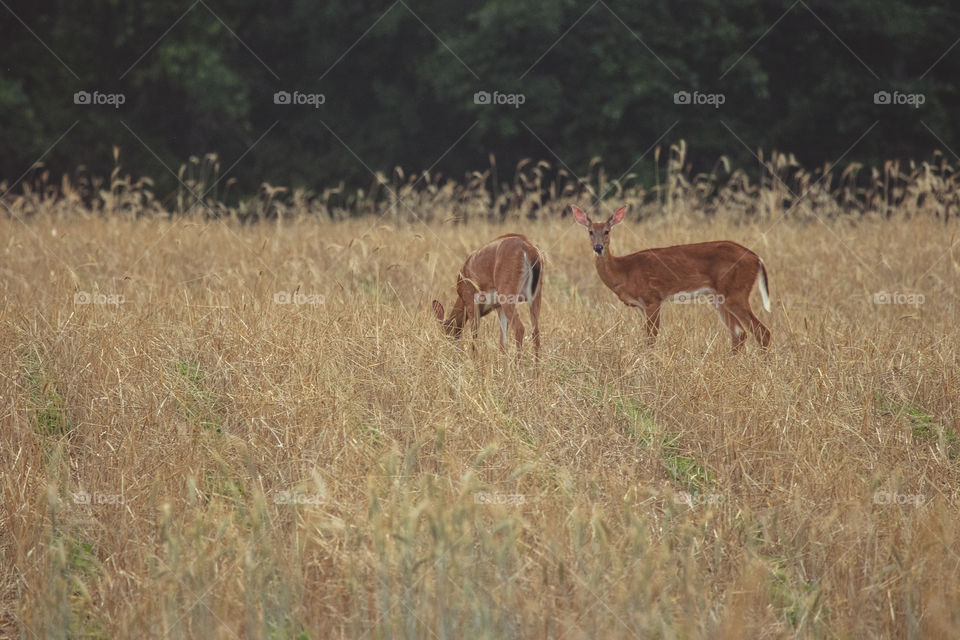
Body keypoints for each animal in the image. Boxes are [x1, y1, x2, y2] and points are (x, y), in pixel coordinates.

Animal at [572, 204, 771, 351]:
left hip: (736, 292)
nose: (598, 248)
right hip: (718, 297)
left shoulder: (652, 298)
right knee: (740, 333)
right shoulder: (641, 306)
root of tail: (757, 259)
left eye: (607, 231)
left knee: (762, 332)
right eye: (590, 231)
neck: (624, 270)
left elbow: (651, 340)